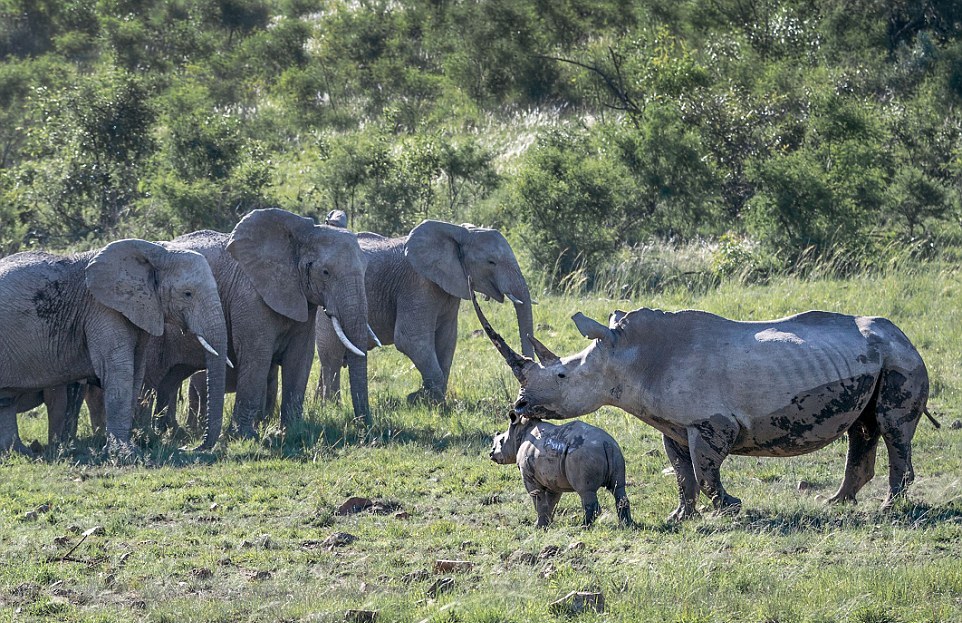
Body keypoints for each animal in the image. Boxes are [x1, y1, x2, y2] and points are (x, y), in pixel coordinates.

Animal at [0, 241, 229, 456]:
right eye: (188, 294)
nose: (190, 447)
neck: (156, 250)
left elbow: (136, 372)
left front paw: (127, 448)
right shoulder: (102, 310)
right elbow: (120, 371)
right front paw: (125, 454)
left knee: (7, 399)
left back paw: (19, 452)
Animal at [103, 207, 370, 436]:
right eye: (325, 272)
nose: (362, 425)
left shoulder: (300, 298)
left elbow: (300, 358)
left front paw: (291, 431)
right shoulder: (250, 297)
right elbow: (257, 356)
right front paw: (245, 435)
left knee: (169, 379)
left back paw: (171, 433)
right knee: (151, 379)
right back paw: (146, 434)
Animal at [318, 222, 536, 408]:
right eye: (491, 262)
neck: (457, 231)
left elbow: (447, 341)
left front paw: (426, 398)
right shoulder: (417, 284)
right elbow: (410, 340)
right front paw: (421, 399)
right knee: (332, 355)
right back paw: (332, 406)